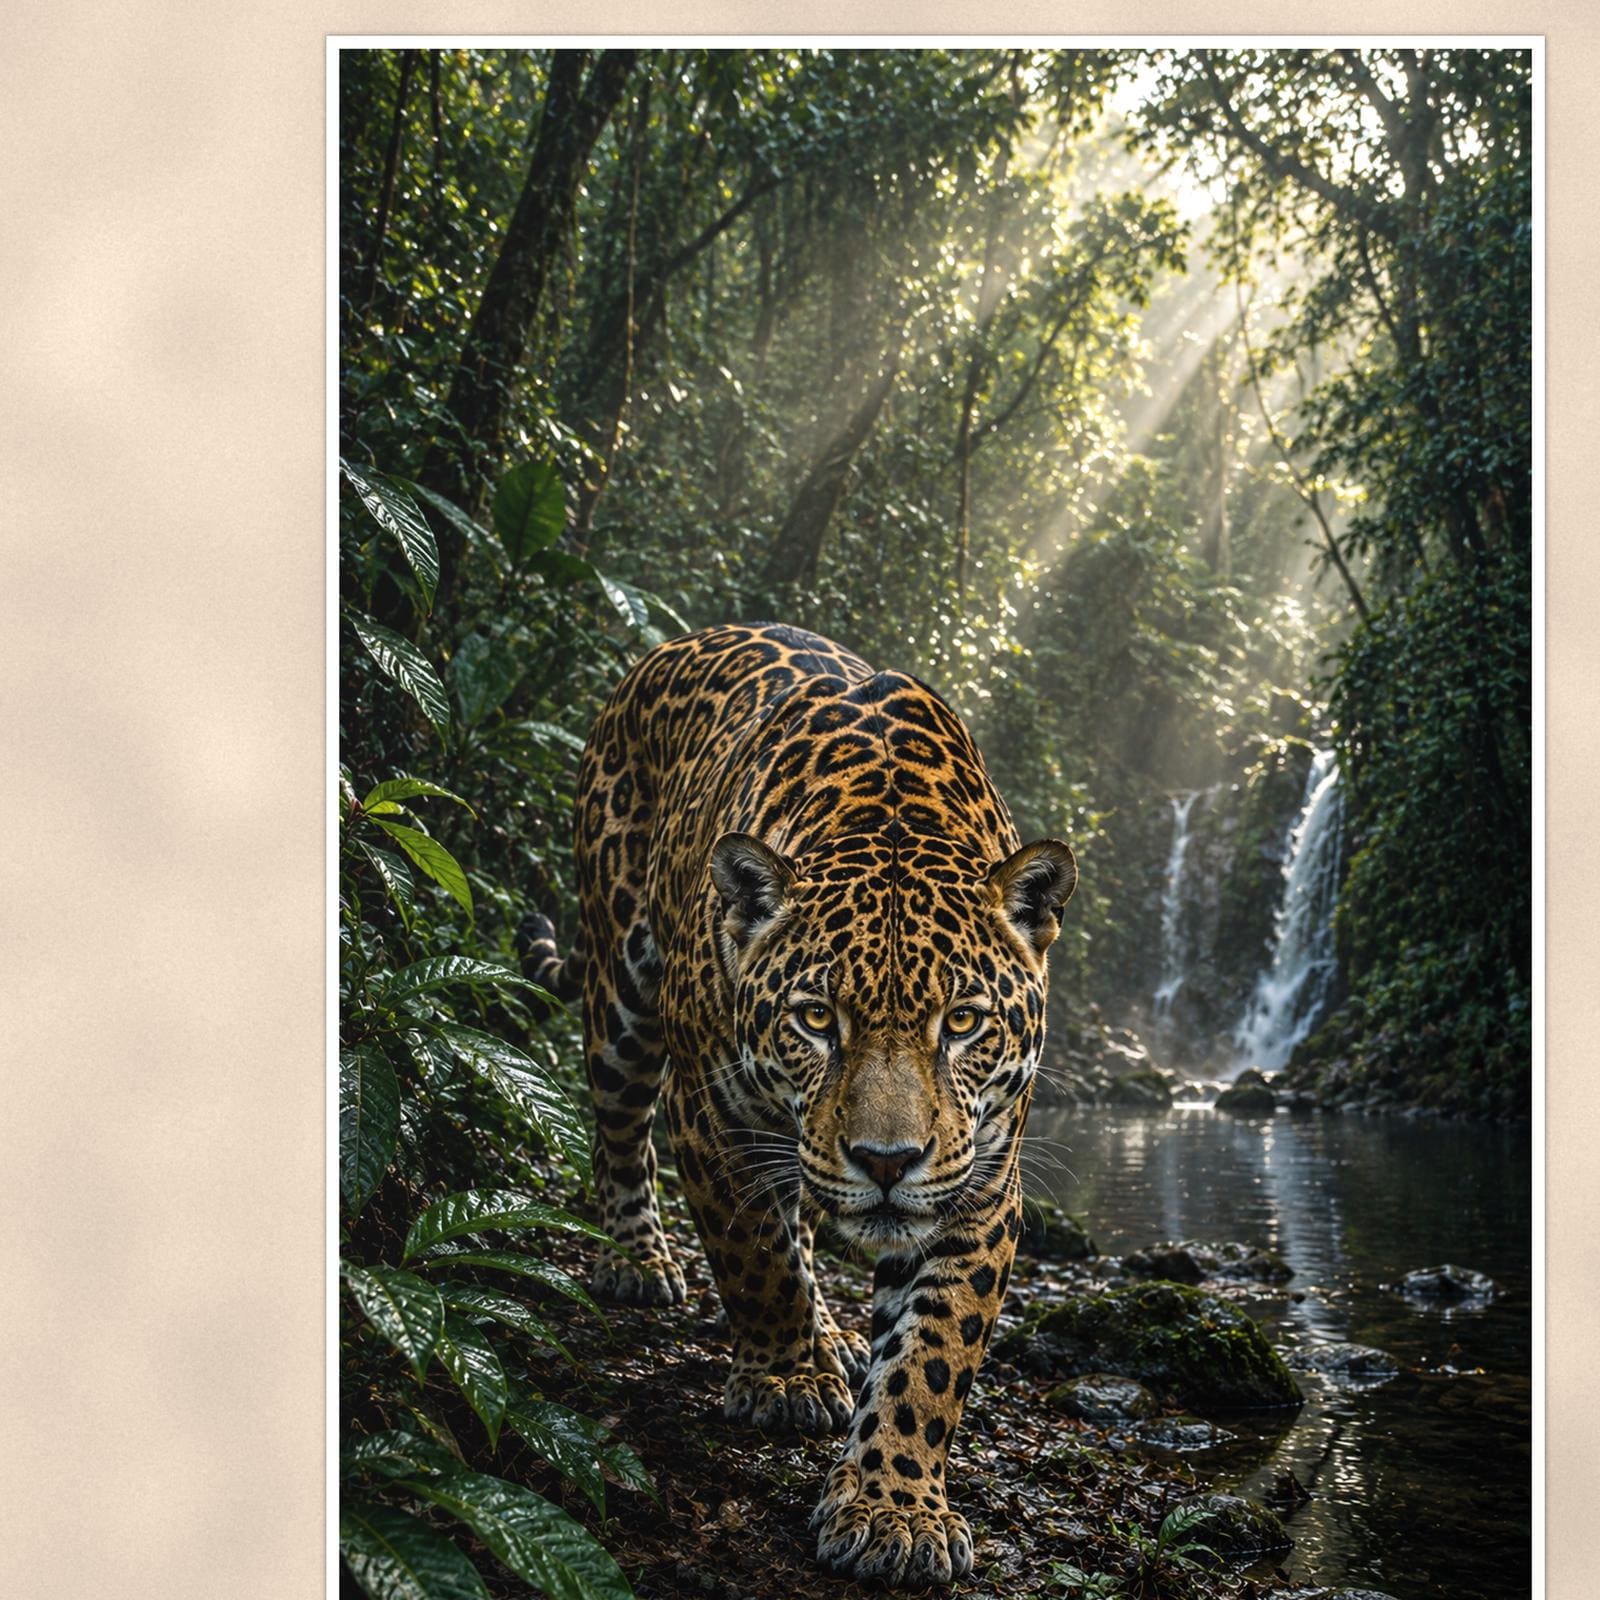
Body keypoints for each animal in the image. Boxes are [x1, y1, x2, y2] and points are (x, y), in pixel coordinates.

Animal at [525, 622, 1076, 1588]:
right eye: (817, 1019)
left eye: (963, 1022)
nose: (888, 1163)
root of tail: (666, 648)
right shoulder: (715, 1119)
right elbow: (758, 1258)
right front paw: (785, 1381)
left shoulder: (983, 1181)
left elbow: (932, 1357)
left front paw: (896, 1508)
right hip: (621, 991)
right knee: (620, 1130)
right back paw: (640, 1261)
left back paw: (834, 1337)